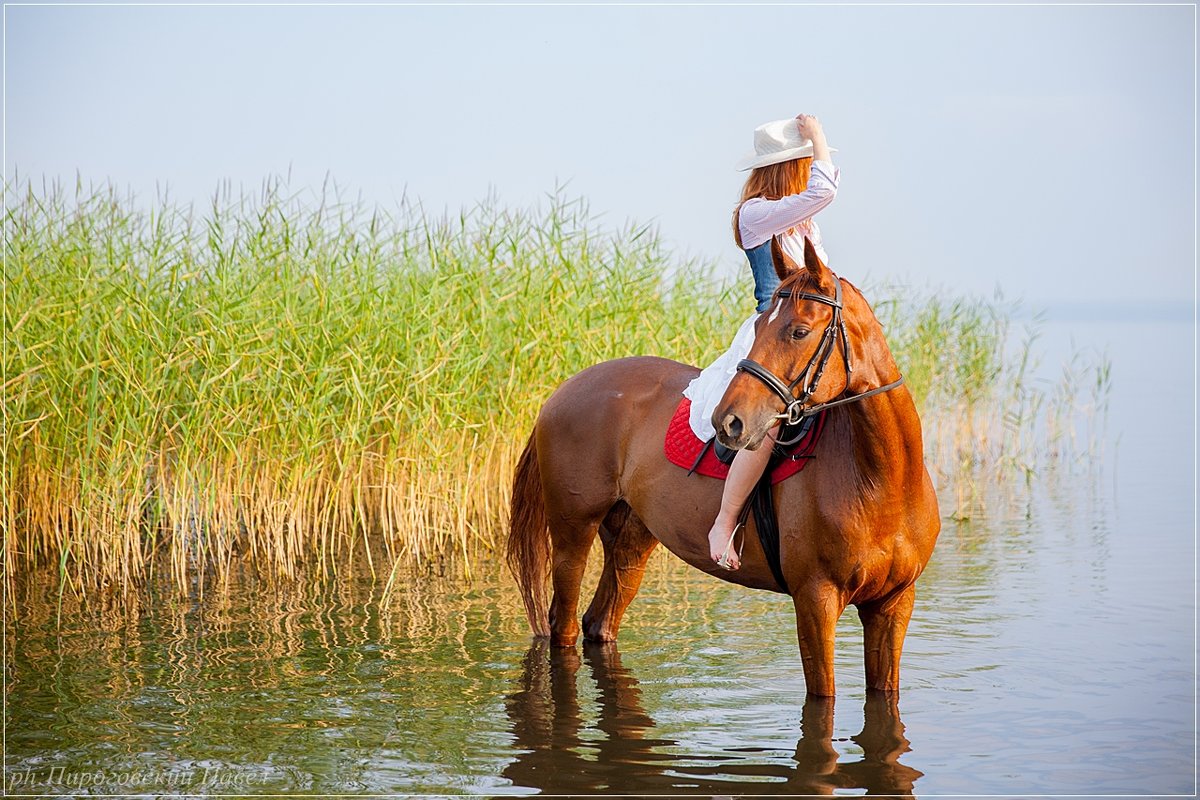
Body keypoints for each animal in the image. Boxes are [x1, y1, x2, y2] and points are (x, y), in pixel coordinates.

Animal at [501, 237, 940, 695]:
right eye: (758, 328)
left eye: (799, 331)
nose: (727, 422)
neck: (880, 482)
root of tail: (562, 390)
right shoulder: (815, 601)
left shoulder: (894, 604)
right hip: (573, 531)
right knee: (564, 625)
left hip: (631, 538)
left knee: (599, 622)